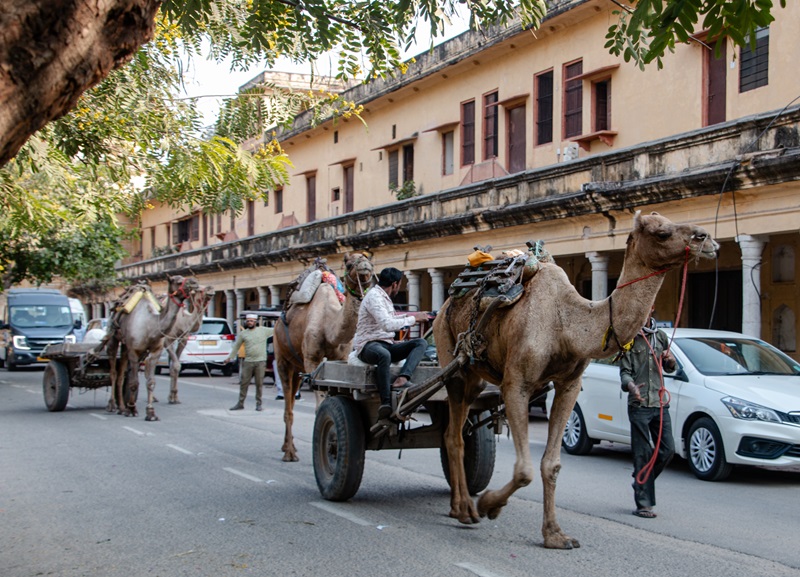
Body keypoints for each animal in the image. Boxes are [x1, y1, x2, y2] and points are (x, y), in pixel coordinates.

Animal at [107, 274, 202, 418]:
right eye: (178, 281)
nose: (195, 282)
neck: (150, 325)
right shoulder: (134, 351)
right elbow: (134, 382)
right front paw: (132, 409)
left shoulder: (155, 351)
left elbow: (151, 382)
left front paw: (150, 412)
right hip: (114, 337)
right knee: (113, 371)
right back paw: (112, 405)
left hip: (125, 345)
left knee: (121, 372)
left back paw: (122, 407)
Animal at [276, 254, 376, 462]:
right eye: (349, 263)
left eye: (371, 261)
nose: (364, 266)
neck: (329, 325)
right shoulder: (311, 359)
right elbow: (319, 406)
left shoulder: (341, 356)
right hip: (282, 357)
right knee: (288, 407)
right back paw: (289, 453)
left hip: (297, 368)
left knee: (292, 400)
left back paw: (288, 446)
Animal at [432, 213, 720, 548]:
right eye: (661, 232)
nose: (706, 238)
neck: (567, 323)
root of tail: (444, 307)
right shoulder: (516, 384)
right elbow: (524, 469)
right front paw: (489, 504)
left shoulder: (568, 385)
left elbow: (552, 464)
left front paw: (555, 534)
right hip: (449, 357)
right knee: (454, 436)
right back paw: (466, 509)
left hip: (475, 378)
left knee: (457, 429)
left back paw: (457, 507)